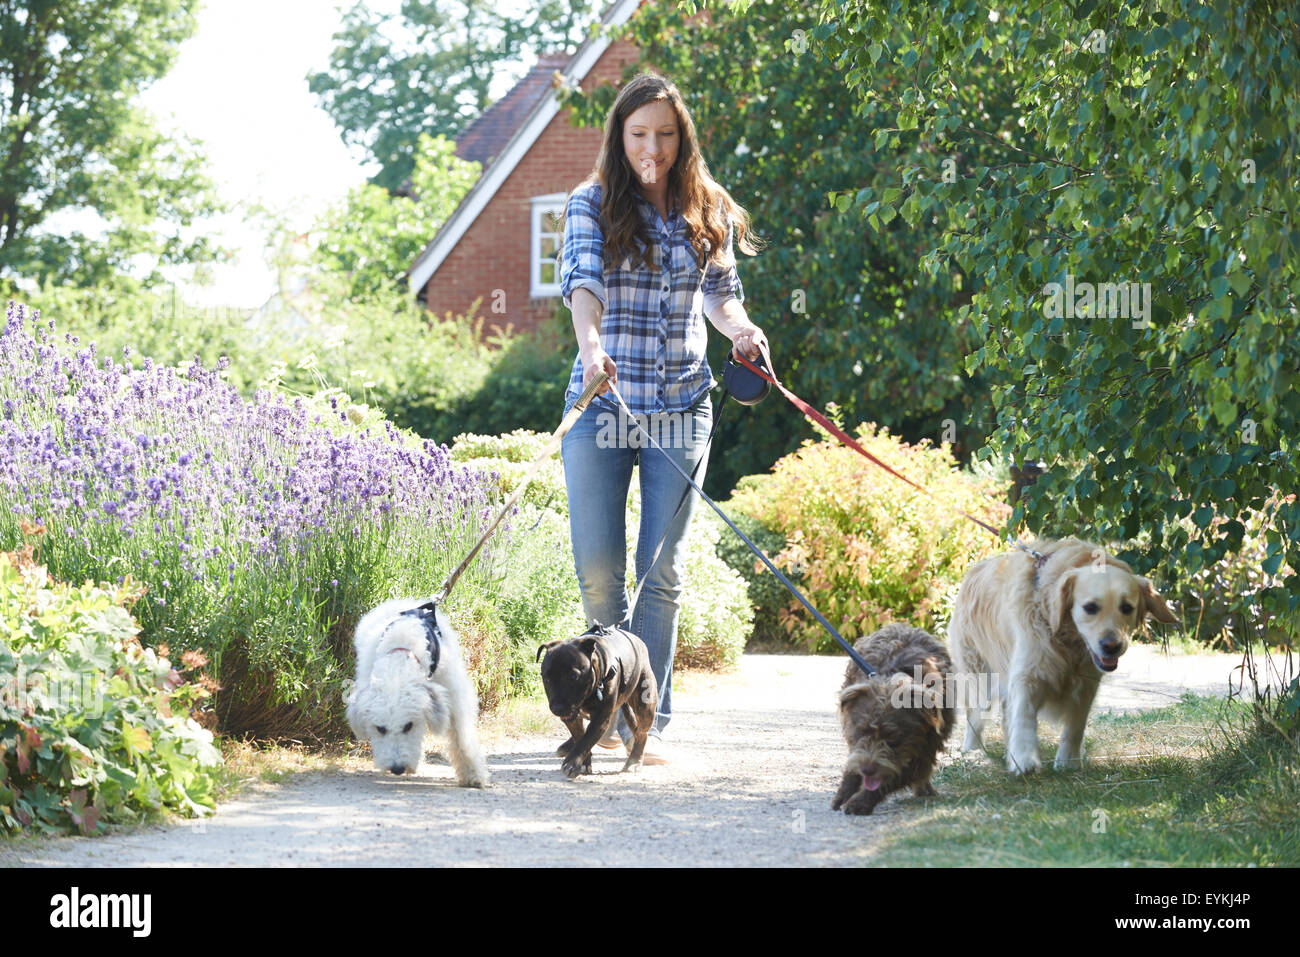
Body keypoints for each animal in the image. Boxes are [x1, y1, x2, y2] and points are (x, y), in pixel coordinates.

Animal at [832, 624, 956, 816]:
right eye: (861, 731)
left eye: (894, 739)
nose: (868, 770)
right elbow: (854, 762)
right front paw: (844, 793)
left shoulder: (925, 746)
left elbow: (898, 774)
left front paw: (860, 801)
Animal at [946, 538, 1180, 780]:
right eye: (1090, 607)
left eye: (1127, 607)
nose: (1111, 646)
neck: (1066, 640)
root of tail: (974, 570)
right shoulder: (1028, 672)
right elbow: (1023, 717)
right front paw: (1024, 759)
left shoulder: (1087, 683)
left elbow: (1076, 725)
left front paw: (1069, 761)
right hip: (979, 676)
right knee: (975, 716)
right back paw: (973, 751)